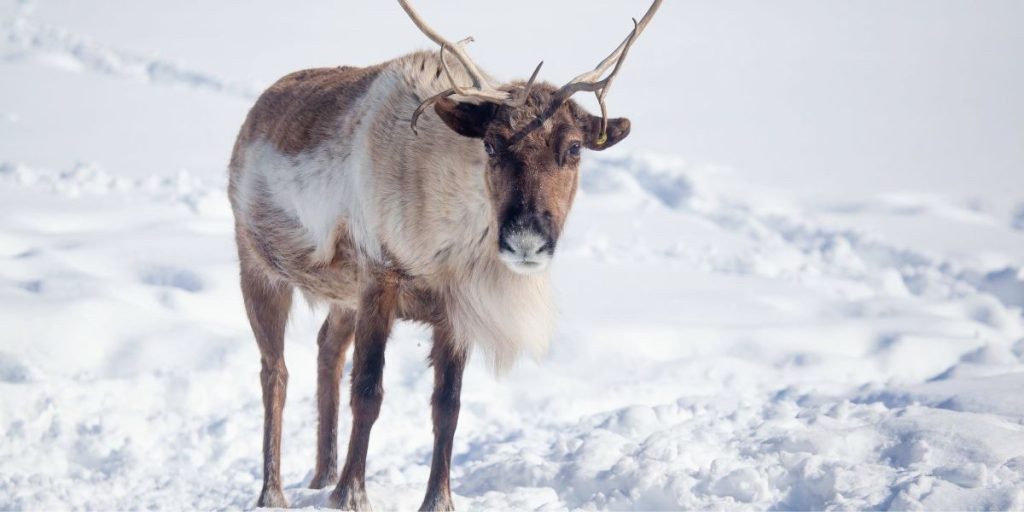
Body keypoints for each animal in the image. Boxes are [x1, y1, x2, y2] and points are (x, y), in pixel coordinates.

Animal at [227, 0, 661, 509]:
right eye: (491, 144)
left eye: (574, 148)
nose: (526, 239)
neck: (449, 238)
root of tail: (253, 116)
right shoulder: (379, 277)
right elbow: (368, 392)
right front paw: (351, 494)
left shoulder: (455, 309)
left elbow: (447, 406)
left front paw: (438, 499)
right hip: (258, 266)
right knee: (274, 374)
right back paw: (274, 492)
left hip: (339, 295)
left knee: (326, 351)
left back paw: (320, 477)